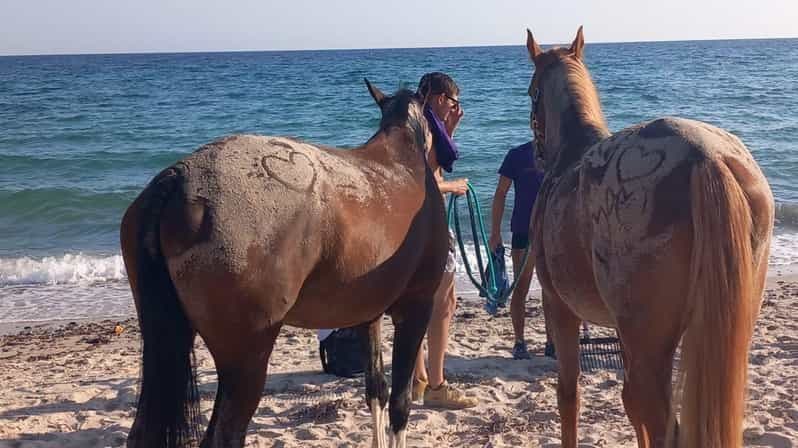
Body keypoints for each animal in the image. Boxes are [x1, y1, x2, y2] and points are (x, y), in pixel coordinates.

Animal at [120, 80, 448, 448]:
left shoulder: (368, 315)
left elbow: (375, 389)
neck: (404, 164)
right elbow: (399, 404)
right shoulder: (416, 306)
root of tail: (179, 179)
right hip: (246, 362)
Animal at [523, 27, 774, 448]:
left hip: (650, 344)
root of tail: (707, 156)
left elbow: (569, 394)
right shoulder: (622, 333)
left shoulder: (559, 306)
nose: (536, 157)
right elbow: (629, 403)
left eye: (531, 91)